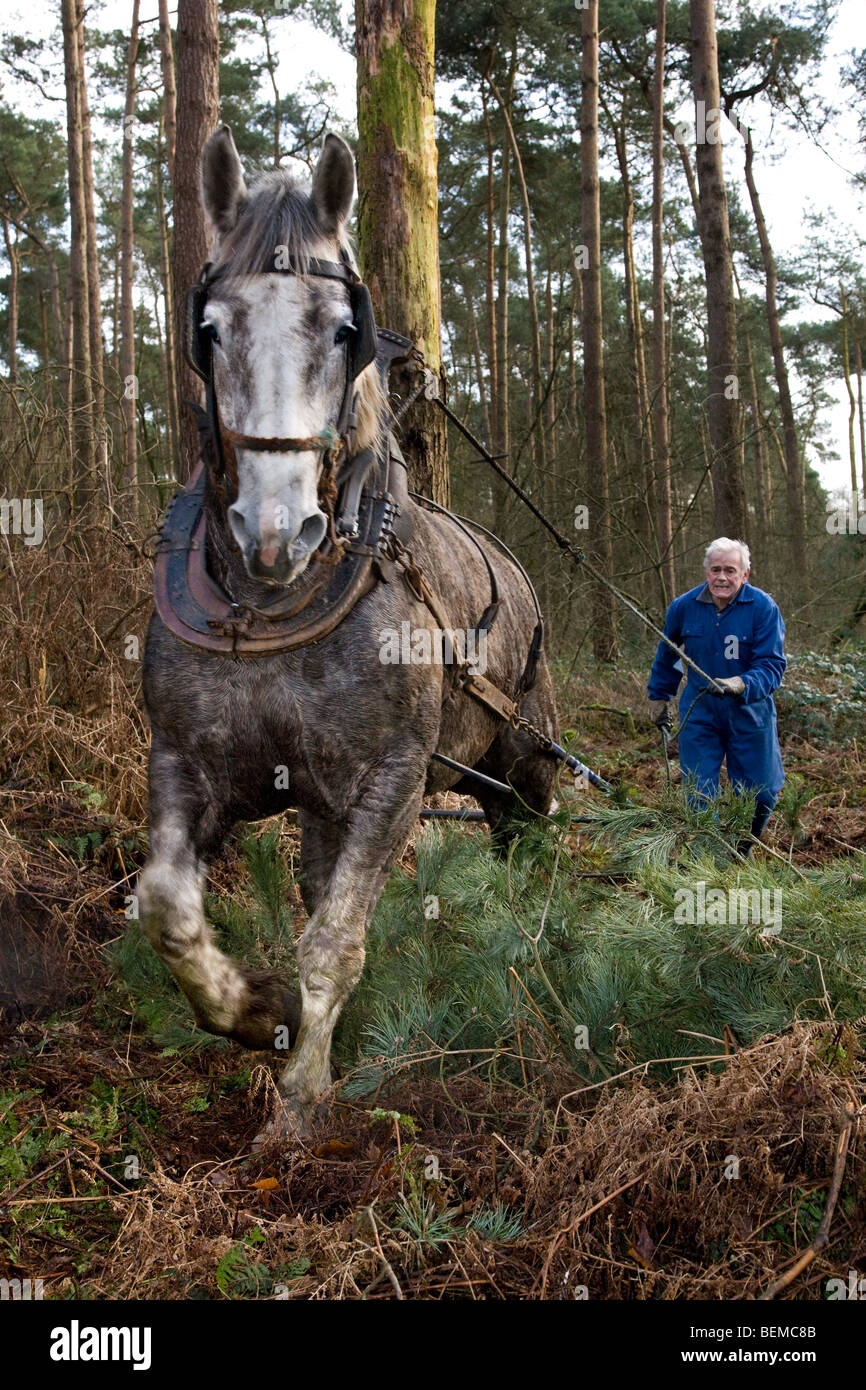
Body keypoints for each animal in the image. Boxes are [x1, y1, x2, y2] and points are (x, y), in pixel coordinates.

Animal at [135, 127, 556, 1139]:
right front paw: (254, 1009)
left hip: (523, 757)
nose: (275, 531)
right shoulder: (187, 762)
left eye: (340, 329)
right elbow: (167, 908)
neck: (278, 611)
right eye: (212, 329)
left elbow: (334, 939)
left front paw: (300, 1100)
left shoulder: (393, 782)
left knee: (525, 835)